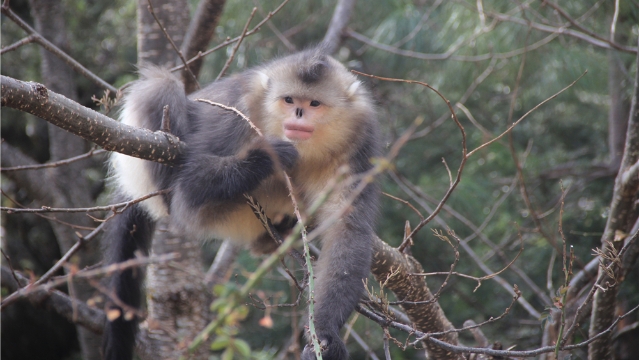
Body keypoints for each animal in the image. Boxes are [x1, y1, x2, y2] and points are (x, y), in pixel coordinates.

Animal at [104, 47, 380, 360]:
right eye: (289, 100)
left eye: (314, 103)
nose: (298, 113)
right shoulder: (236, 110)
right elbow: (187, 191)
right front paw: (264, 157)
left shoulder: (360, 140)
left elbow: (348, 229)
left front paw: (325, 332)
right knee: (162, 86)